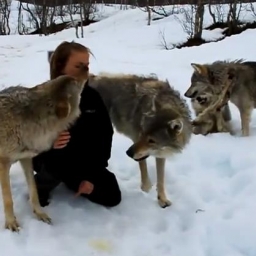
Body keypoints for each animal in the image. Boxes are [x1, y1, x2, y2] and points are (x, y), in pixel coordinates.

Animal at [0, 74, 86, 232]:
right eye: (76, 82)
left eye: (72, 78)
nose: (88, 73)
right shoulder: (4, 163)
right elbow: (8, 199)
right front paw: (11, 223)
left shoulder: (26, 158)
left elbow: (33, 191)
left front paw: (40, 214)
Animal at [90, 72, 192, 208]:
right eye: (142, 133)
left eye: (152, 141)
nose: (128, 153)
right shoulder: (135, 139)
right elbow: (143, 166)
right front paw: (146, 186)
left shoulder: (160, 154)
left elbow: (161, 178)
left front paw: (162, 199)